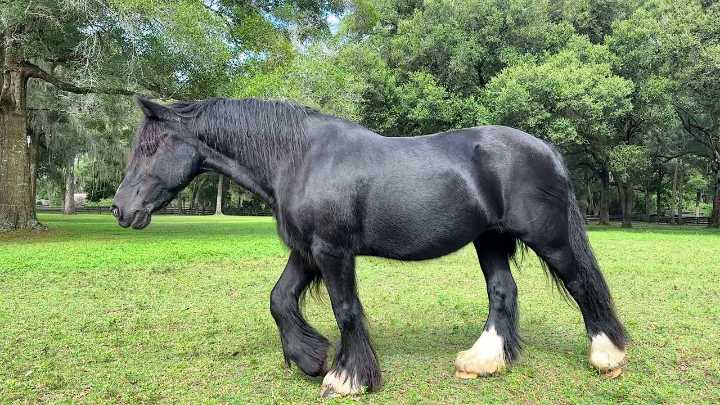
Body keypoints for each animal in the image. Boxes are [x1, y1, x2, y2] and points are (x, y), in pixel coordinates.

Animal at [112, 97, 627, 397]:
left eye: (151, 147)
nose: (120, 208)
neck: (300, 157)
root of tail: (548, 150)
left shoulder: (332, 251)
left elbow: (345, 310)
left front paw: (347, 377)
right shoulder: (306, 251)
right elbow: (279, 300)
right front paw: (310, 358)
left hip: (549, 238)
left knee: (582, 283)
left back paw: (607, 356)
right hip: (491, 240)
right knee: (503, 293)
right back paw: (482, 362)